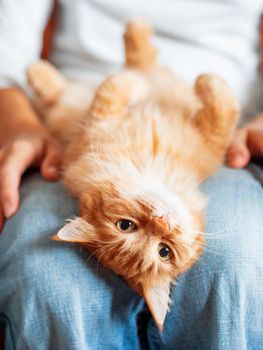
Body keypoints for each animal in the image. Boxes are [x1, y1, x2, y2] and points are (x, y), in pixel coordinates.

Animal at [27, 19, 240, 330]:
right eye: (127, 226)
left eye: (164, 251)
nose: (162, 221)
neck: (150, 164)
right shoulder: (97, 125)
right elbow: (116, 87)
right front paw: (145, 82)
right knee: (60, 93)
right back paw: (39, 70)